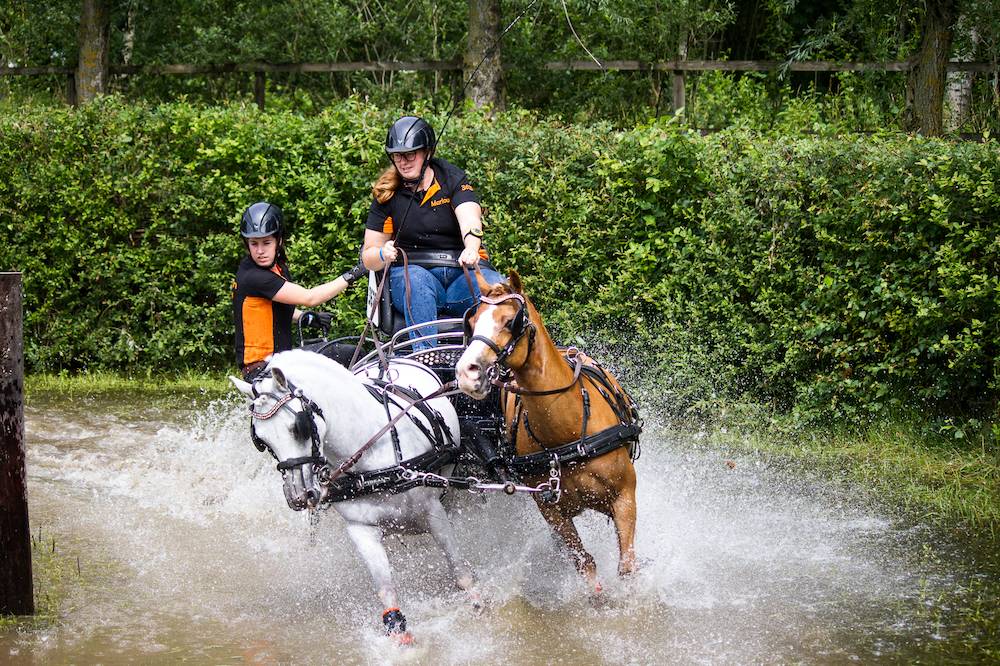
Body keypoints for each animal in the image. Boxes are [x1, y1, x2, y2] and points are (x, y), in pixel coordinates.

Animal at [230, 348, 477, 643]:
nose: (299, 495)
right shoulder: (361, 528)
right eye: (261, 441)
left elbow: (459, 568)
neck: (373, 455)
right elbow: (385, 588)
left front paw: (478, 603)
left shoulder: (433, 511)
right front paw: (399, 635)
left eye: (298, 427)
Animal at [454, 270, 641, 593]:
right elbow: (585, 564)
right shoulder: (552, 512)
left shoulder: (624, 497)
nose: (467, 372)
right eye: (473, 321)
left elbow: (627, 567)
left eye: (511, 321)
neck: (567, 437)